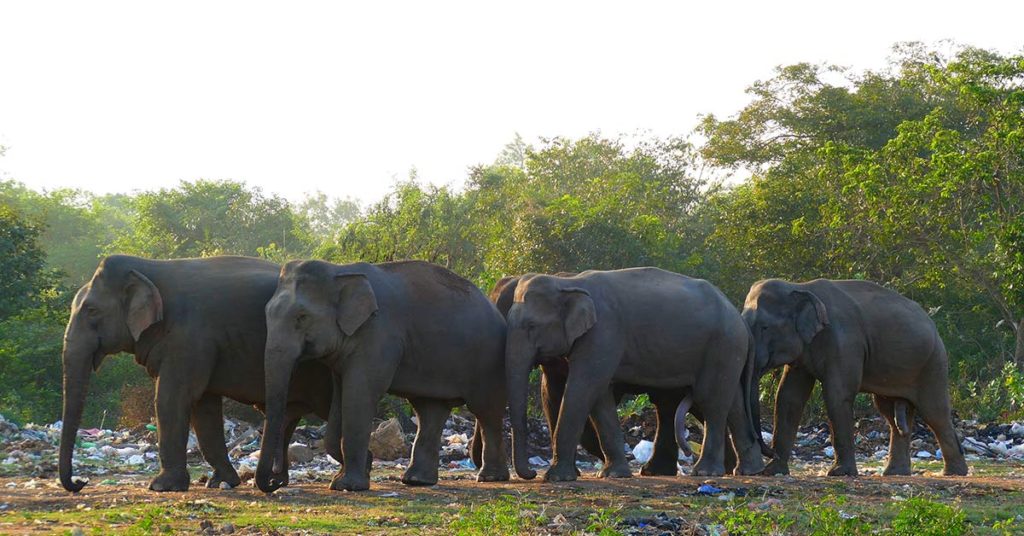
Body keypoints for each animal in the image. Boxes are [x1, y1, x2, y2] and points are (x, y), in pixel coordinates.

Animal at [58, 255, 341, 493]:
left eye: (91, 310)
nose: (81, 482)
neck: (150, 266)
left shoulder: (189, 338)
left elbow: (173, 398)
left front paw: (161, 486)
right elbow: (203, 407)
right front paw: (220, 483)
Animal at [256, 259, 509, 492]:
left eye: (302, 317)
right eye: (267, 313)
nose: (274, 482)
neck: (339, 271)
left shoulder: (378, 334)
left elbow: (360, 394)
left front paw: (348, 485)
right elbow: (341, 397)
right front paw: (339, 480)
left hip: (488, 360)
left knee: (486, 410)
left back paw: (489, 477)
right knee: (430, 410)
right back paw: (416, 480)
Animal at [504, 268, 766, 481]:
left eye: (531, 326)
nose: (531, 473)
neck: (567, 282)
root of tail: (739, 317)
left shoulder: (603, 333)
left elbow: (584, 387)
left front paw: (557, 478)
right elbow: (600, 397)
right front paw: (612, 475)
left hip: (723, 345)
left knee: (711, 400)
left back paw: (705, 472)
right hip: (728, 351)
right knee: (732, 402)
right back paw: (749, 470)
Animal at [742, 278, 969, 477]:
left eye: (765, 327)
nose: (769, 452)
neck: (798, 286)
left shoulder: (846, 341)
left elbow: (837, 395)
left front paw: (839, 473)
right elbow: (788, 398)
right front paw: (772, 471)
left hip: (933, 363)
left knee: (934, 412)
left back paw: (953, 472)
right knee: (890, 413)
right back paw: (895, 473)